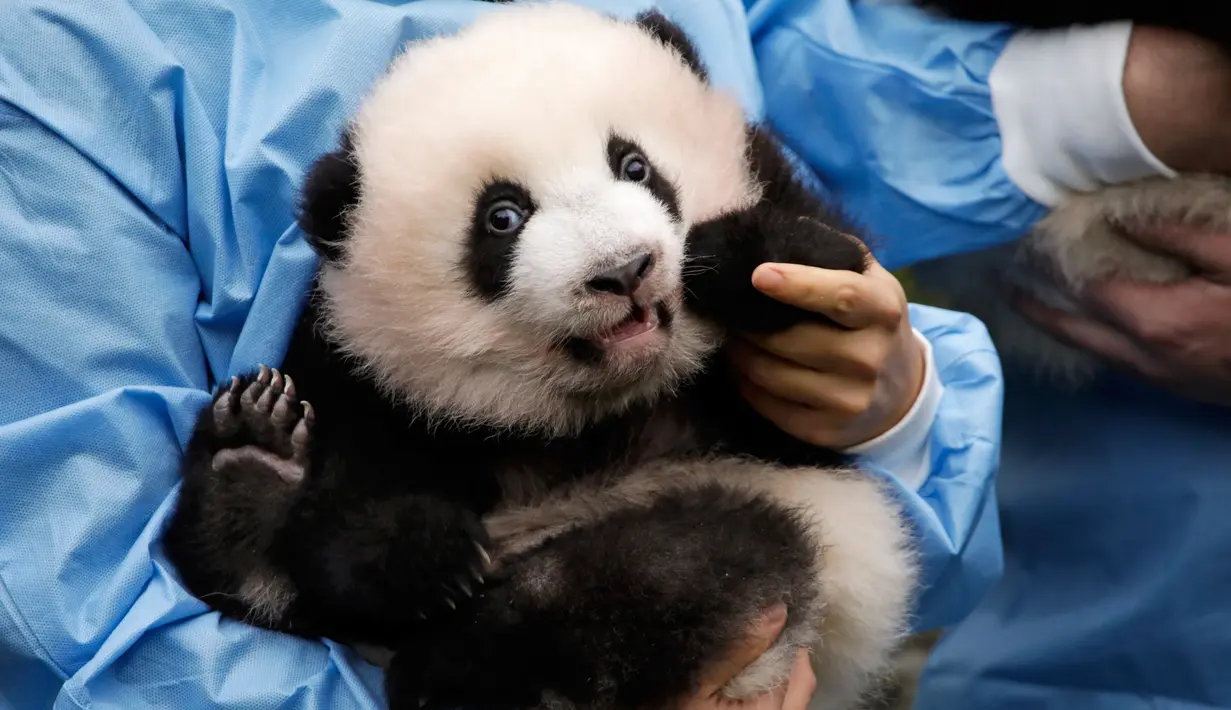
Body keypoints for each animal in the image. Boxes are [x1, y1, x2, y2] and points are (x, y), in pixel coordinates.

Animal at [161, 4, 919, 710]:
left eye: (635, 165)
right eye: (503, 217)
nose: (625, 270)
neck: (595, 411)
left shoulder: (773, 198)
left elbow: (821, 266)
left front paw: (728, 254)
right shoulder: (364, 363)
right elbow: (348, 493)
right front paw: (421, 553)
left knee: (674, 569)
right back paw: (248, 475)